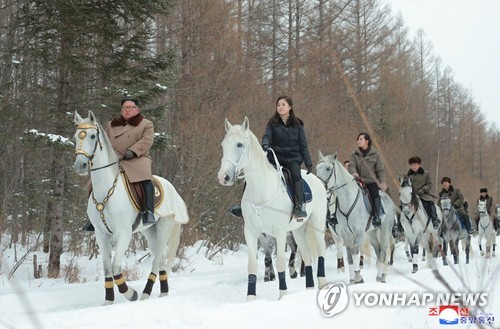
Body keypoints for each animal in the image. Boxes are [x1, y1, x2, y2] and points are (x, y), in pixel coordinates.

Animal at [74, 111, 189, 304]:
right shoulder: (101, 234)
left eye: (92, 136)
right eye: (76, 136)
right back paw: (162, 293)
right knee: (161, 260)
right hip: (150, 231)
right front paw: (108, 301)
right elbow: (107, 268)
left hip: (164, 227)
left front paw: (130, 293)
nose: (80, 165)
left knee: (157, 261)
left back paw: (145, 294)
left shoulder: (123, 233)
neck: (106, 191)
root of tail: (171, 187)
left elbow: (115, 267)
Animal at [216, 116, 326, 298]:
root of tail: (317, 180)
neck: (262, 190)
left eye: (239, 144)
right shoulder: (252, 233)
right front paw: (251, 299)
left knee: (320, 251)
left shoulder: (279, 232)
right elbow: (253, 265)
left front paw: (283, 295)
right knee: (307, 256)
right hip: (298, 230)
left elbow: (280, 262)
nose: (223, 177)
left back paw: (323, 286)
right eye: (223, 145)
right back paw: (309, 288)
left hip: (316, 224)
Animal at [316, 151, 394, 282]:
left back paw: (381, 276)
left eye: (328, 168)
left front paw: (358, 277)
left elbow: (356, 253)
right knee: (378, 251)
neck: (347, 200)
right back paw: (380, 275)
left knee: (383, 251)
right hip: (372, 234)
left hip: (384, 230)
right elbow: (349, 256)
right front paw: (352, 280)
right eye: (317, 168)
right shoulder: (345, 233)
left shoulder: (359, 232)